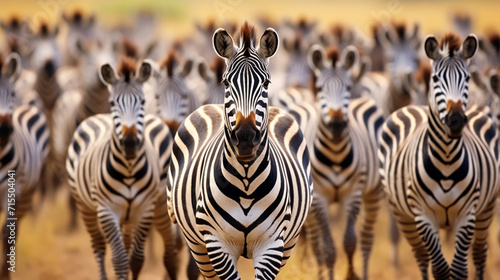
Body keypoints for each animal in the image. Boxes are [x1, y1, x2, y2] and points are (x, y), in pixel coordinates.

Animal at [65, 57, 177, 280]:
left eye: (142, 102)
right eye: (112, 103)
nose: (130, 143)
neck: (129, 169)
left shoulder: (145, 209)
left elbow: (136, 259)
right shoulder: (106, 211)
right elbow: (119, 259)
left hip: (158, 207)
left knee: (168, 252)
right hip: (85, 207)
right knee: (99, 246)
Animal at [168, 22, 312, 280]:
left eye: (266, 83)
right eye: (226, 83)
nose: (245, 138)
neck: (246, 182)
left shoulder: (272, 244)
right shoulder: (217, 244)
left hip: (290, 242)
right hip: (197, 245)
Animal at [294, 44, 384, 278]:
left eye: (348, 86)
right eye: (320, 88)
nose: (336, 125)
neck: (335, 153)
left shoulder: (354, 193)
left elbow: (350, 242)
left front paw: (352, 275)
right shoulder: (319, 199)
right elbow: (328, 249)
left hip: (374, 191)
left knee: (367, 239)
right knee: (316, 246)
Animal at [378, 33, 496, 280]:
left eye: (467, 78)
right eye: (436, 78)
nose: (456, 120)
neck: (446, 159)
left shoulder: (467, 215)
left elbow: (459, 269)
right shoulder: (423, 216)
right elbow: (440, 269)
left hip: (487, 208)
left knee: (479, 254)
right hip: (401, 213)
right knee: (422, 257)